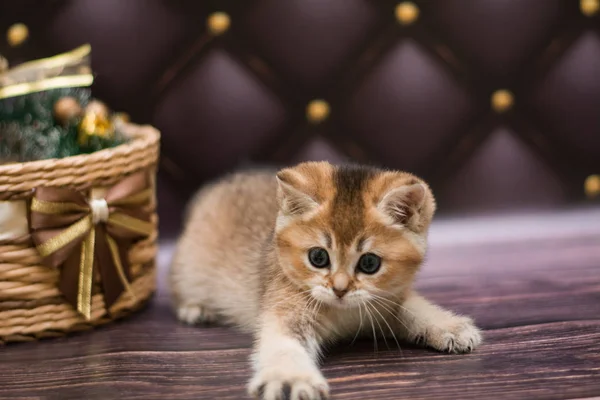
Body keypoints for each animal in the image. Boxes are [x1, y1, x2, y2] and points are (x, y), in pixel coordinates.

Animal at [169, 162, 482, 400]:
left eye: (369, 263)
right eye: (318, 257)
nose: (340, 289)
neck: (345, 314)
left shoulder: (388, 299)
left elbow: (413, 307)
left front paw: (448, 326)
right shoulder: (286, 307)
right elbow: (283, 343)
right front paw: (289, 378)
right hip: (188, 267)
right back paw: (196, 309)